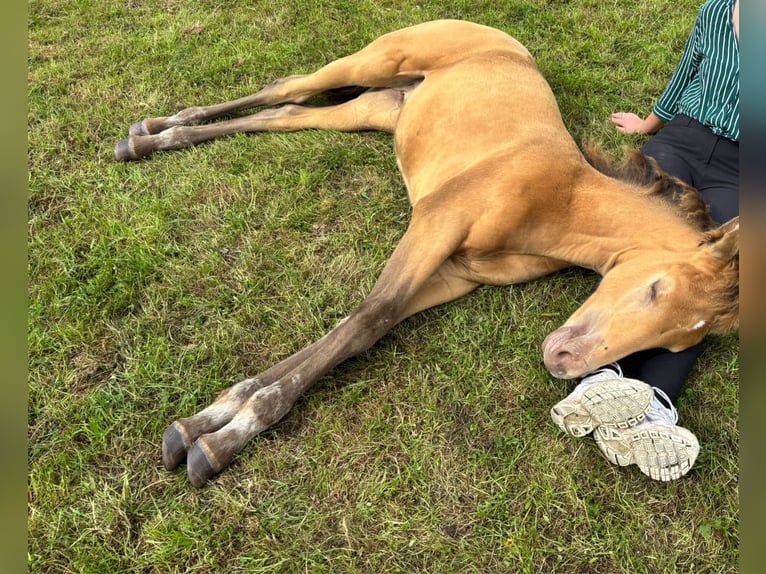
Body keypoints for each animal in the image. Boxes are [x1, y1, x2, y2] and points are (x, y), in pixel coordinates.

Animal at [114, 20, 739, 487]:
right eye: (656, 289)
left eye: (676, 343)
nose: (563, 361)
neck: (558, 200)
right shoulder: (435, 223)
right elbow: (370, 317)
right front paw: (222, 437)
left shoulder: (453, 274)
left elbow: (354, 329)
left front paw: (213, 419)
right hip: (371, 66)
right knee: (288, 88)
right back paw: (149, 131)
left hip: (375, 108)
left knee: (287, 113)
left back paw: (154, 138)